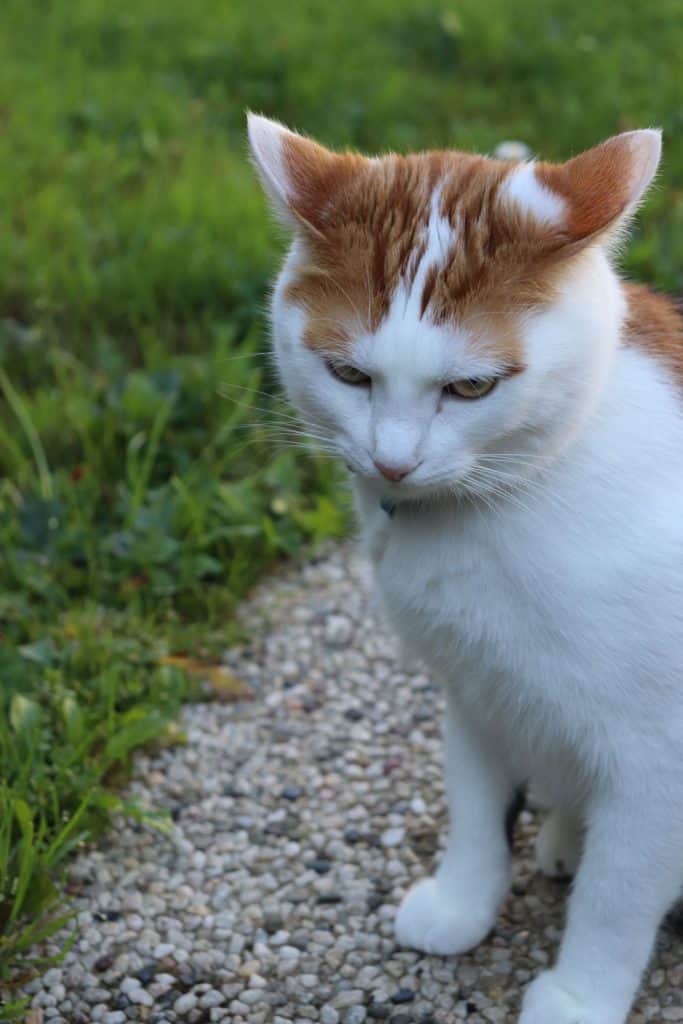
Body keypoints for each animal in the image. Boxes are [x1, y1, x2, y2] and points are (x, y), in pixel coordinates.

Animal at [249, 112, 683, 1024]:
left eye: (472, 388)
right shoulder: (477, 686)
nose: (393, 461)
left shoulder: (660, 758)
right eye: (349, 374)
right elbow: (477, 812)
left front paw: (580, 996)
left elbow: (617, 894)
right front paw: (462, 903)